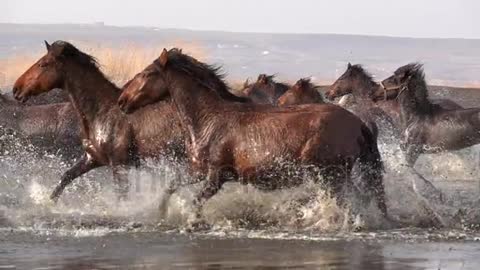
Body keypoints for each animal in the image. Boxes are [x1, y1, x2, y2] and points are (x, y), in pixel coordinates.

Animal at [12, 41, 186, 201]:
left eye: (43, 64)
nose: (16, 89)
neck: (102, 112)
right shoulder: (92, 158)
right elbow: (65, 178)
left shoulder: (120, 165)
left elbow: (121, 196)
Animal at [118, 48, 388, 221]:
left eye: (146, 73)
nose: (122, 101)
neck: (208, 119)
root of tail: (358, 123)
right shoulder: (198, 171)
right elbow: (171, 187)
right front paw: (161, 214)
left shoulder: (217, 176)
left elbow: (196, 201)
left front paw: (193, 223)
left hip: (329, 175)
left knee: (354, 200)